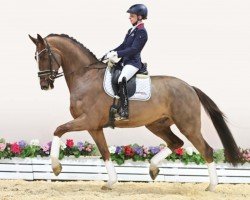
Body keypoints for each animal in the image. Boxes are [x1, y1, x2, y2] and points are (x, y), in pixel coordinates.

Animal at [29, 33, 240, 191]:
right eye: (36, 57)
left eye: (45, 56)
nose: (44, 85)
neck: (85, 77)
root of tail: (190, 87)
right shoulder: (94, 127)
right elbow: (105, 152)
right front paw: (111, 182)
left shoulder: (88, 120)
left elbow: (58, 129)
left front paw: (56, 167)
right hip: (157, 124)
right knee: (176, 143)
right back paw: (153, 169)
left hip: (188, 126)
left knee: (205, 149)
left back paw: (212, 186)